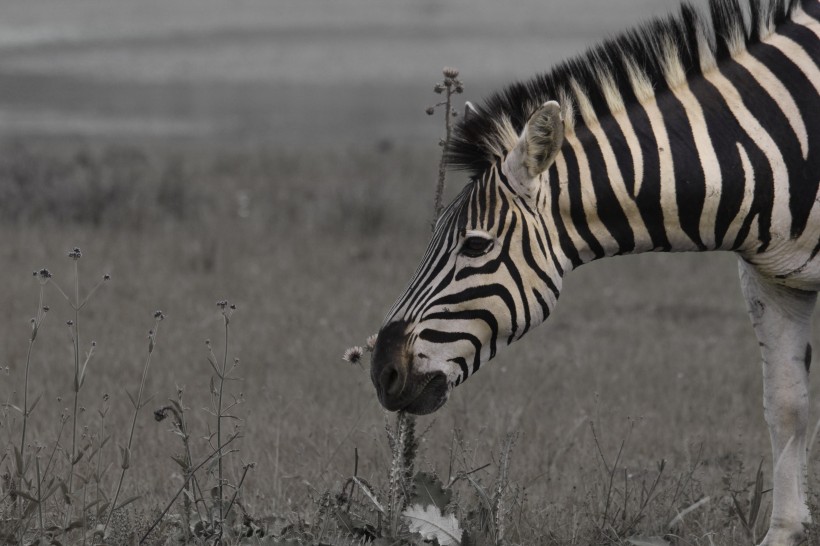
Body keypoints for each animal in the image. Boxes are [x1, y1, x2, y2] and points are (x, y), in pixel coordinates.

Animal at [370, 0, 820, 536]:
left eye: (476, 245)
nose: (382, 372)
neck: (775, 146)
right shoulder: (770, 279)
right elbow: (788, 408)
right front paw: (786, 531)